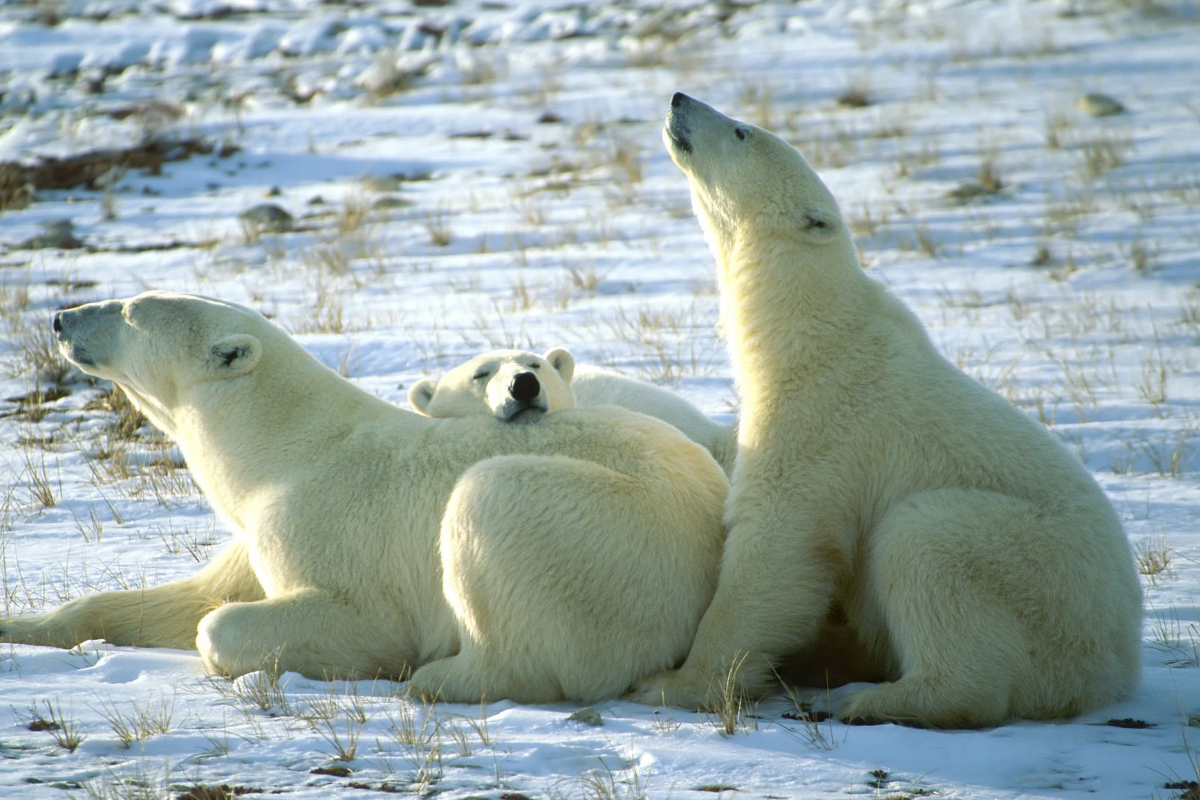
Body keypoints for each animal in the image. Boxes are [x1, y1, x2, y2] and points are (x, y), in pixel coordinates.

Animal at [628, 93, 1143, 728]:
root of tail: (1116, 667)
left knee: (928, 543)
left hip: (1037, 580)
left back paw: (861, 697)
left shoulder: (822, 416)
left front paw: (671, 682)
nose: (679, 99)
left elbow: (777, 544)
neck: (813, 331)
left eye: (743, 131)